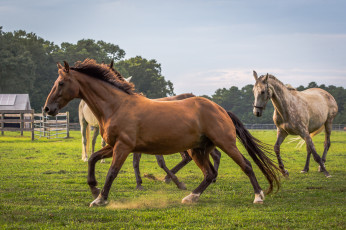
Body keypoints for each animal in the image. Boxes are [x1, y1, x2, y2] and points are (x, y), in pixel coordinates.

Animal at [44, 59, 282, 207]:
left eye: (61, 83)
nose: (47, 109)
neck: (117, 105)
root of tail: (220, 109)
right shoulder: (113, 146)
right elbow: (93, 158)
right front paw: (94, 190)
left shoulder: (123, 147)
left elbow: (112, 172)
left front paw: (101, 198)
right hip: (198, 150)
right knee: (209, 173)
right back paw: (191, 197)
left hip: (226, 143)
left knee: (246, 165)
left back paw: (258, 196)